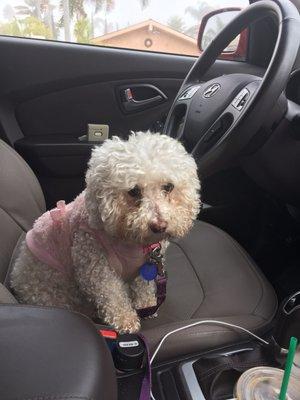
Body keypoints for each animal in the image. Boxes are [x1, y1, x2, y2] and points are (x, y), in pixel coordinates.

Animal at [10, 133, 200, 332]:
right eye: (134, 191)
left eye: (168, 187)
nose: (160, 226)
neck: (130, 241)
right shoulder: (94, 267)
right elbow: (112, 295)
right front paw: (125, 320)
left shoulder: (147, 265)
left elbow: (143, 286)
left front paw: (146, 304)